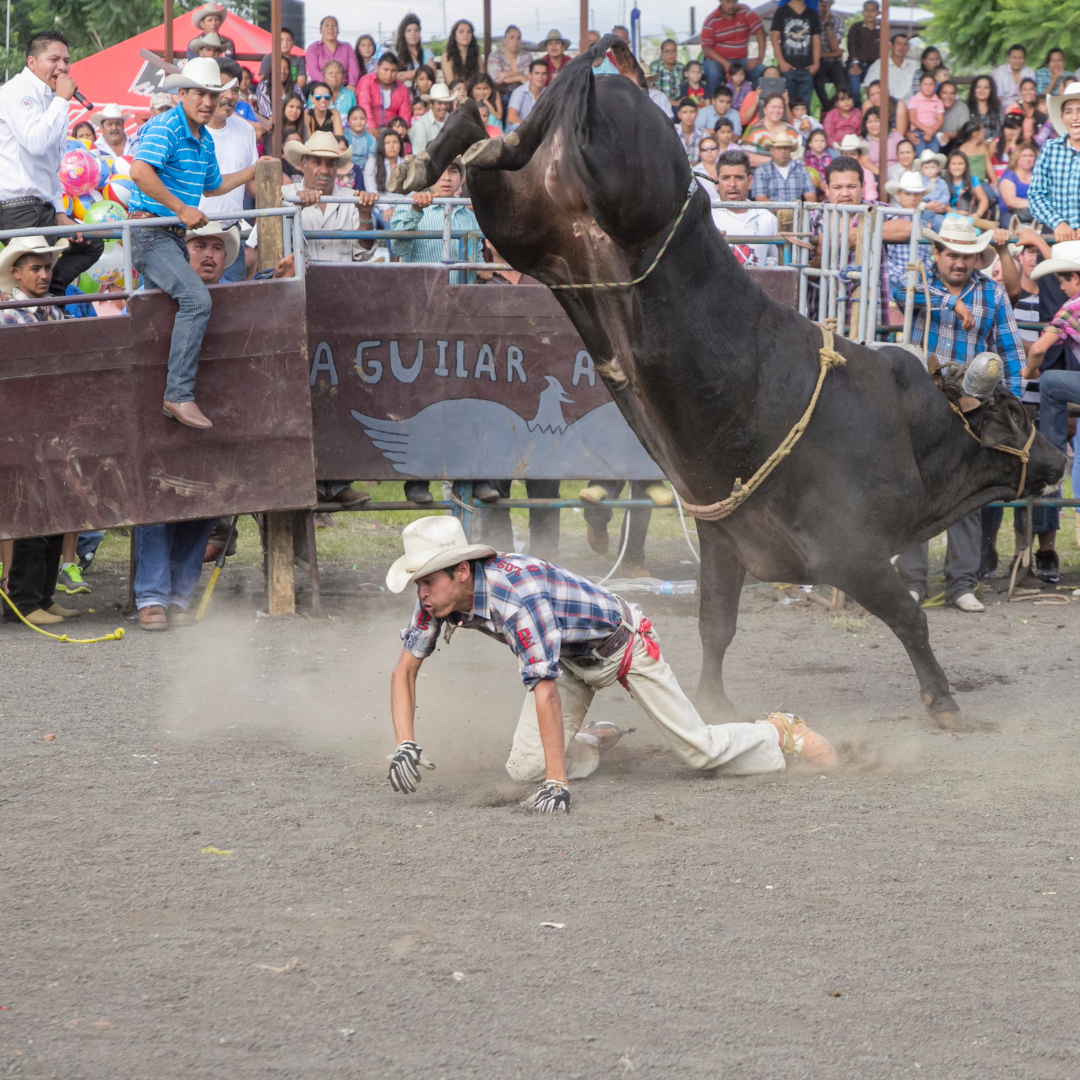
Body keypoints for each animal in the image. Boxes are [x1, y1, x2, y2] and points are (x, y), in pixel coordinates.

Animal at [393, 44, 1067, 734]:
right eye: (1013, 411)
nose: (1056, 455)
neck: (913, 429)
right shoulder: (850, 552)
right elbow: (908, 618)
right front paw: (944, 701)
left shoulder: (726, 540)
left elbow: (716, 624)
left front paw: (712, 704)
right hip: (624, 181)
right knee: (547, 108)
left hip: (525, 225)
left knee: (489, 133)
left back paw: (444, 150)